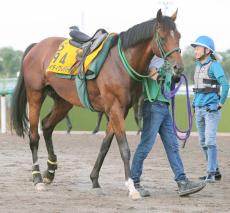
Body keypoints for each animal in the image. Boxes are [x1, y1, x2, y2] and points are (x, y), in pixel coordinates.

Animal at [10, 9, 183, 200]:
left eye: (179, 36)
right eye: (163, 37)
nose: (178, 68)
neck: (121, 63)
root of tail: (36, 46)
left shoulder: (120, 111)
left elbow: (105, 145)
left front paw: (94, 180)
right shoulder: (115, 108)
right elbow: (124, 148)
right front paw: (131, 187)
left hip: (64, 100)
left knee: (47, 126)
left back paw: (50, 170)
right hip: (35, 95)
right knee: (34, 136)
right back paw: (38, 179)